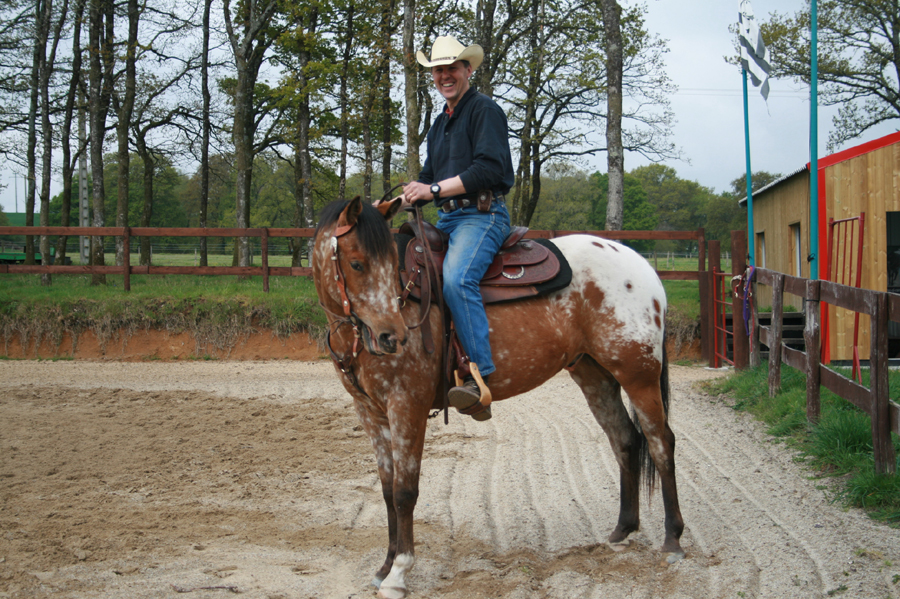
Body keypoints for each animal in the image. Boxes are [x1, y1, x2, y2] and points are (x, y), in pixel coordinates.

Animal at [311, 196, 683, 599]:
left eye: (387, 264)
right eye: (357, 263)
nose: (391, 336)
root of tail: (643, 268)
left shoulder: (406, 407)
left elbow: (404, 492)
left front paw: (399, 572)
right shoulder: (370, 413)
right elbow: (386, 489)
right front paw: (385, 566)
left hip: (638, 375)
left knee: (660, 443)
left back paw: (673, 540)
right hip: (595, 376)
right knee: (625, 441)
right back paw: (622, 530)